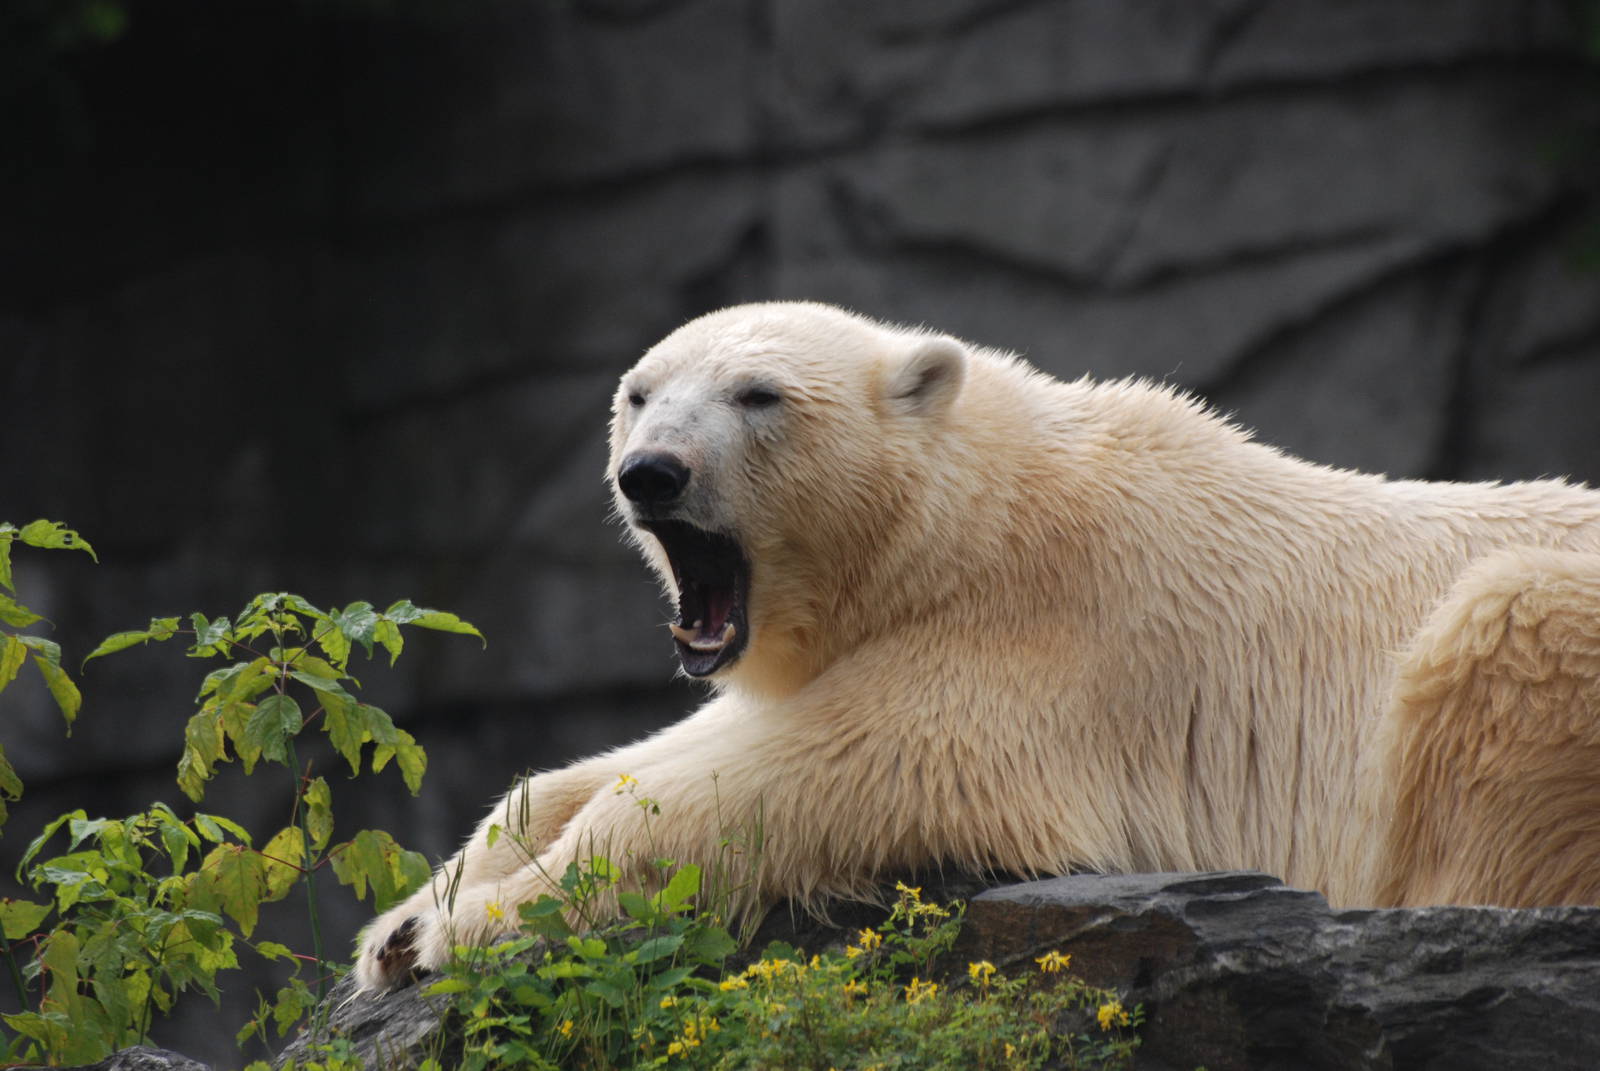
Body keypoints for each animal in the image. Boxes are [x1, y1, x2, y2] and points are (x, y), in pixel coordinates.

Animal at [356, 300, 1600, 991]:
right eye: (638, 391)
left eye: (758, 395)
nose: (649, 472)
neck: (968, 523)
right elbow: (619, 766)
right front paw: (404, 922)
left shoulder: (1043, 643)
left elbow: (815, 771)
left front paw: (466, 932)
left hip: (1540, 632)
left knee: (1502, 639)